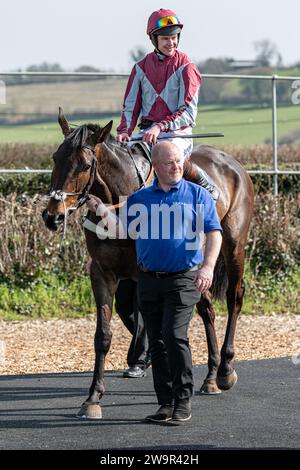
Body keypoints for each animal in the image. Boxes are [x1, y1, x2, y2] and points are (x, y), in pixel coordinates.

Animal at [42, 109, 253, 418]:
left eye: (85, 165)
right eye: (56, 158)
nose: (52, 215)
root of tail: (232, 163)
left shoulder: (146, 273)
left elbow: (154, 327)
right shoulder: (102, 272)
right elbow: (103, 334)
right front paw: (93, 398)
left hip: (234, 243)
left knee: (233, 297)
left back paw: (225, 369)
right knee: (207, 309)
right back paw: (211, 376)